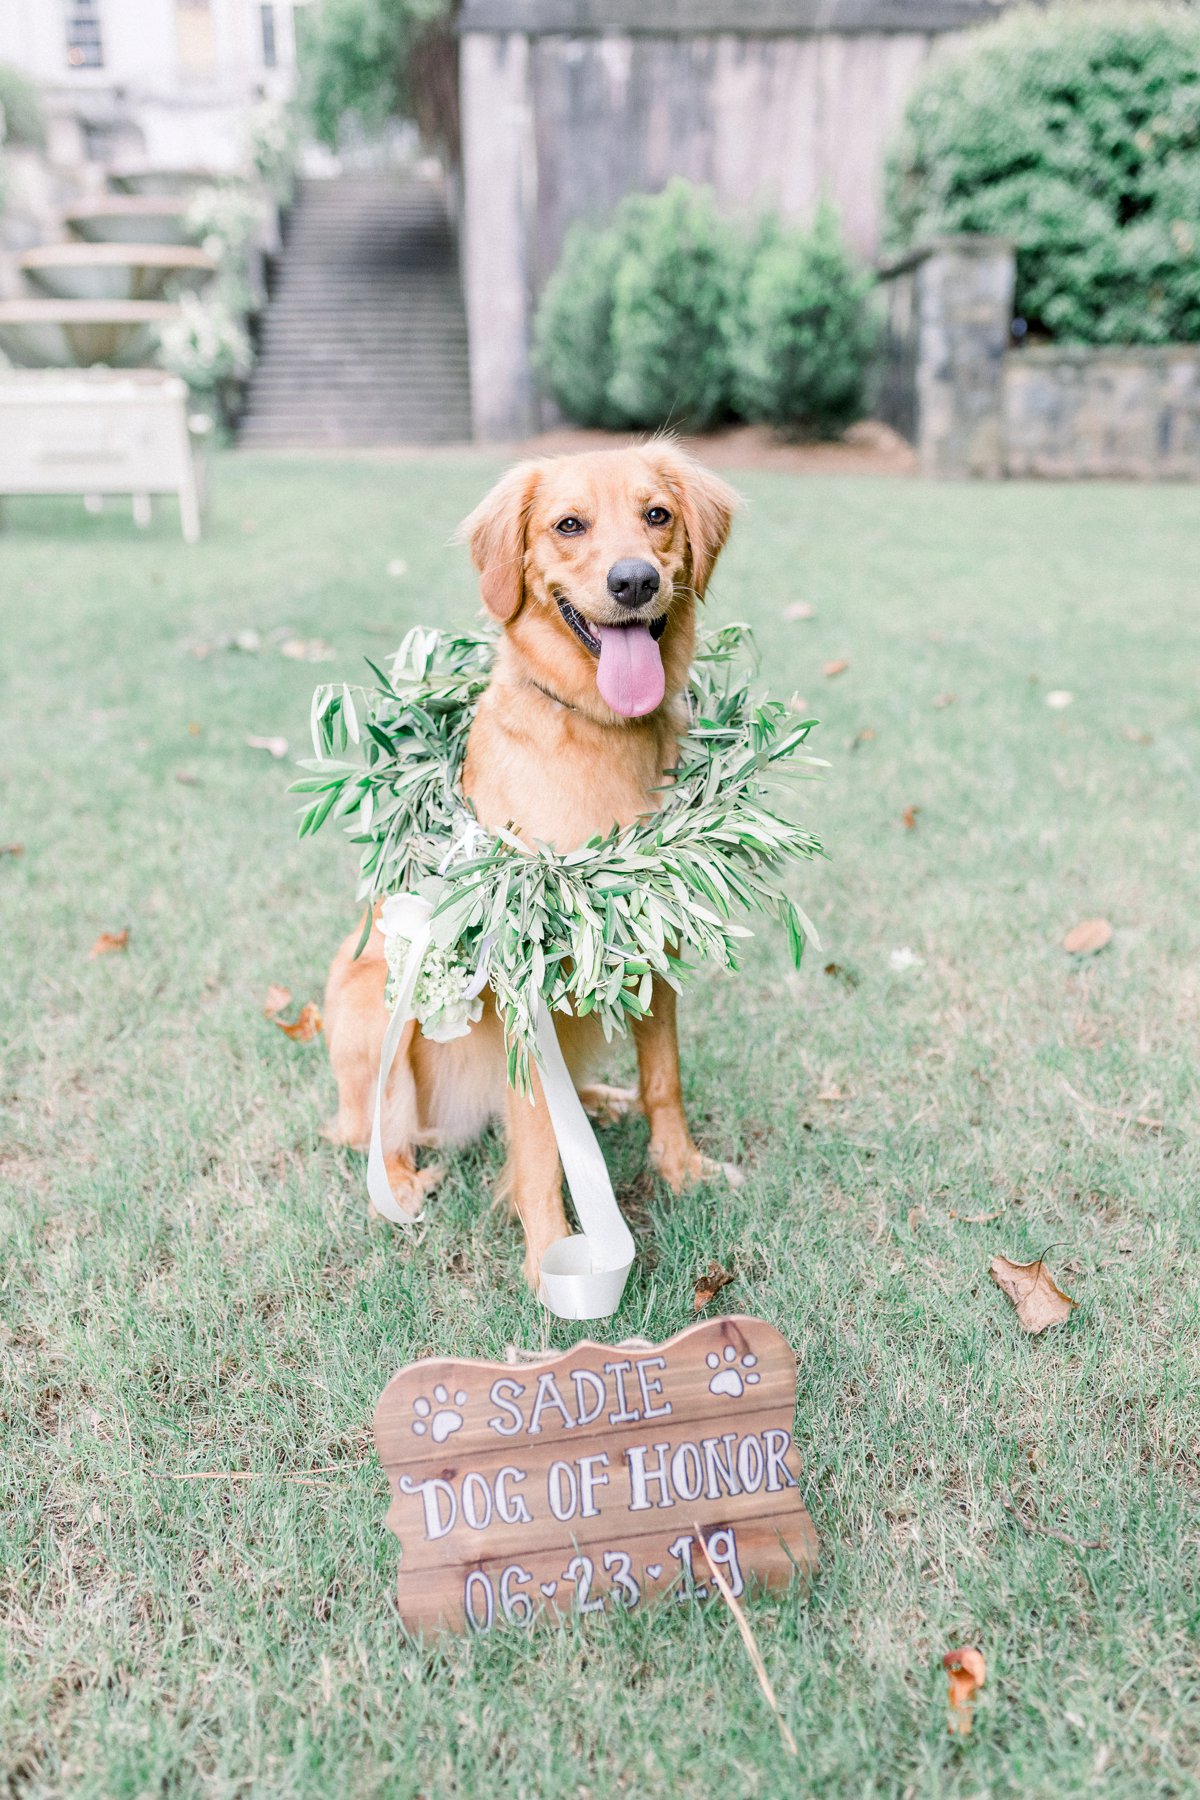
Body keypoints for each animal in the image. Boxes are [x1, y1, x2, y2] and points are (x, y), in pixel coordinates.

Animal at [323, 450, 744, 1296]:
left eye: (657, 515)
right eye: (568, 524)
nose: (634, 581)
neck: (599, 730)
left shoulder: (656, 946)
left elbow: (665, 1080)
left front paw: (681, 1169)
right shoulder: (522, 982)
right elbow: (543, 1143)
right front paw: (551, 1257)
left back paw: (604, 1100)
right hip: (367, 1002)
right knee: (371, 1128)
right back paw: (403, 1179)